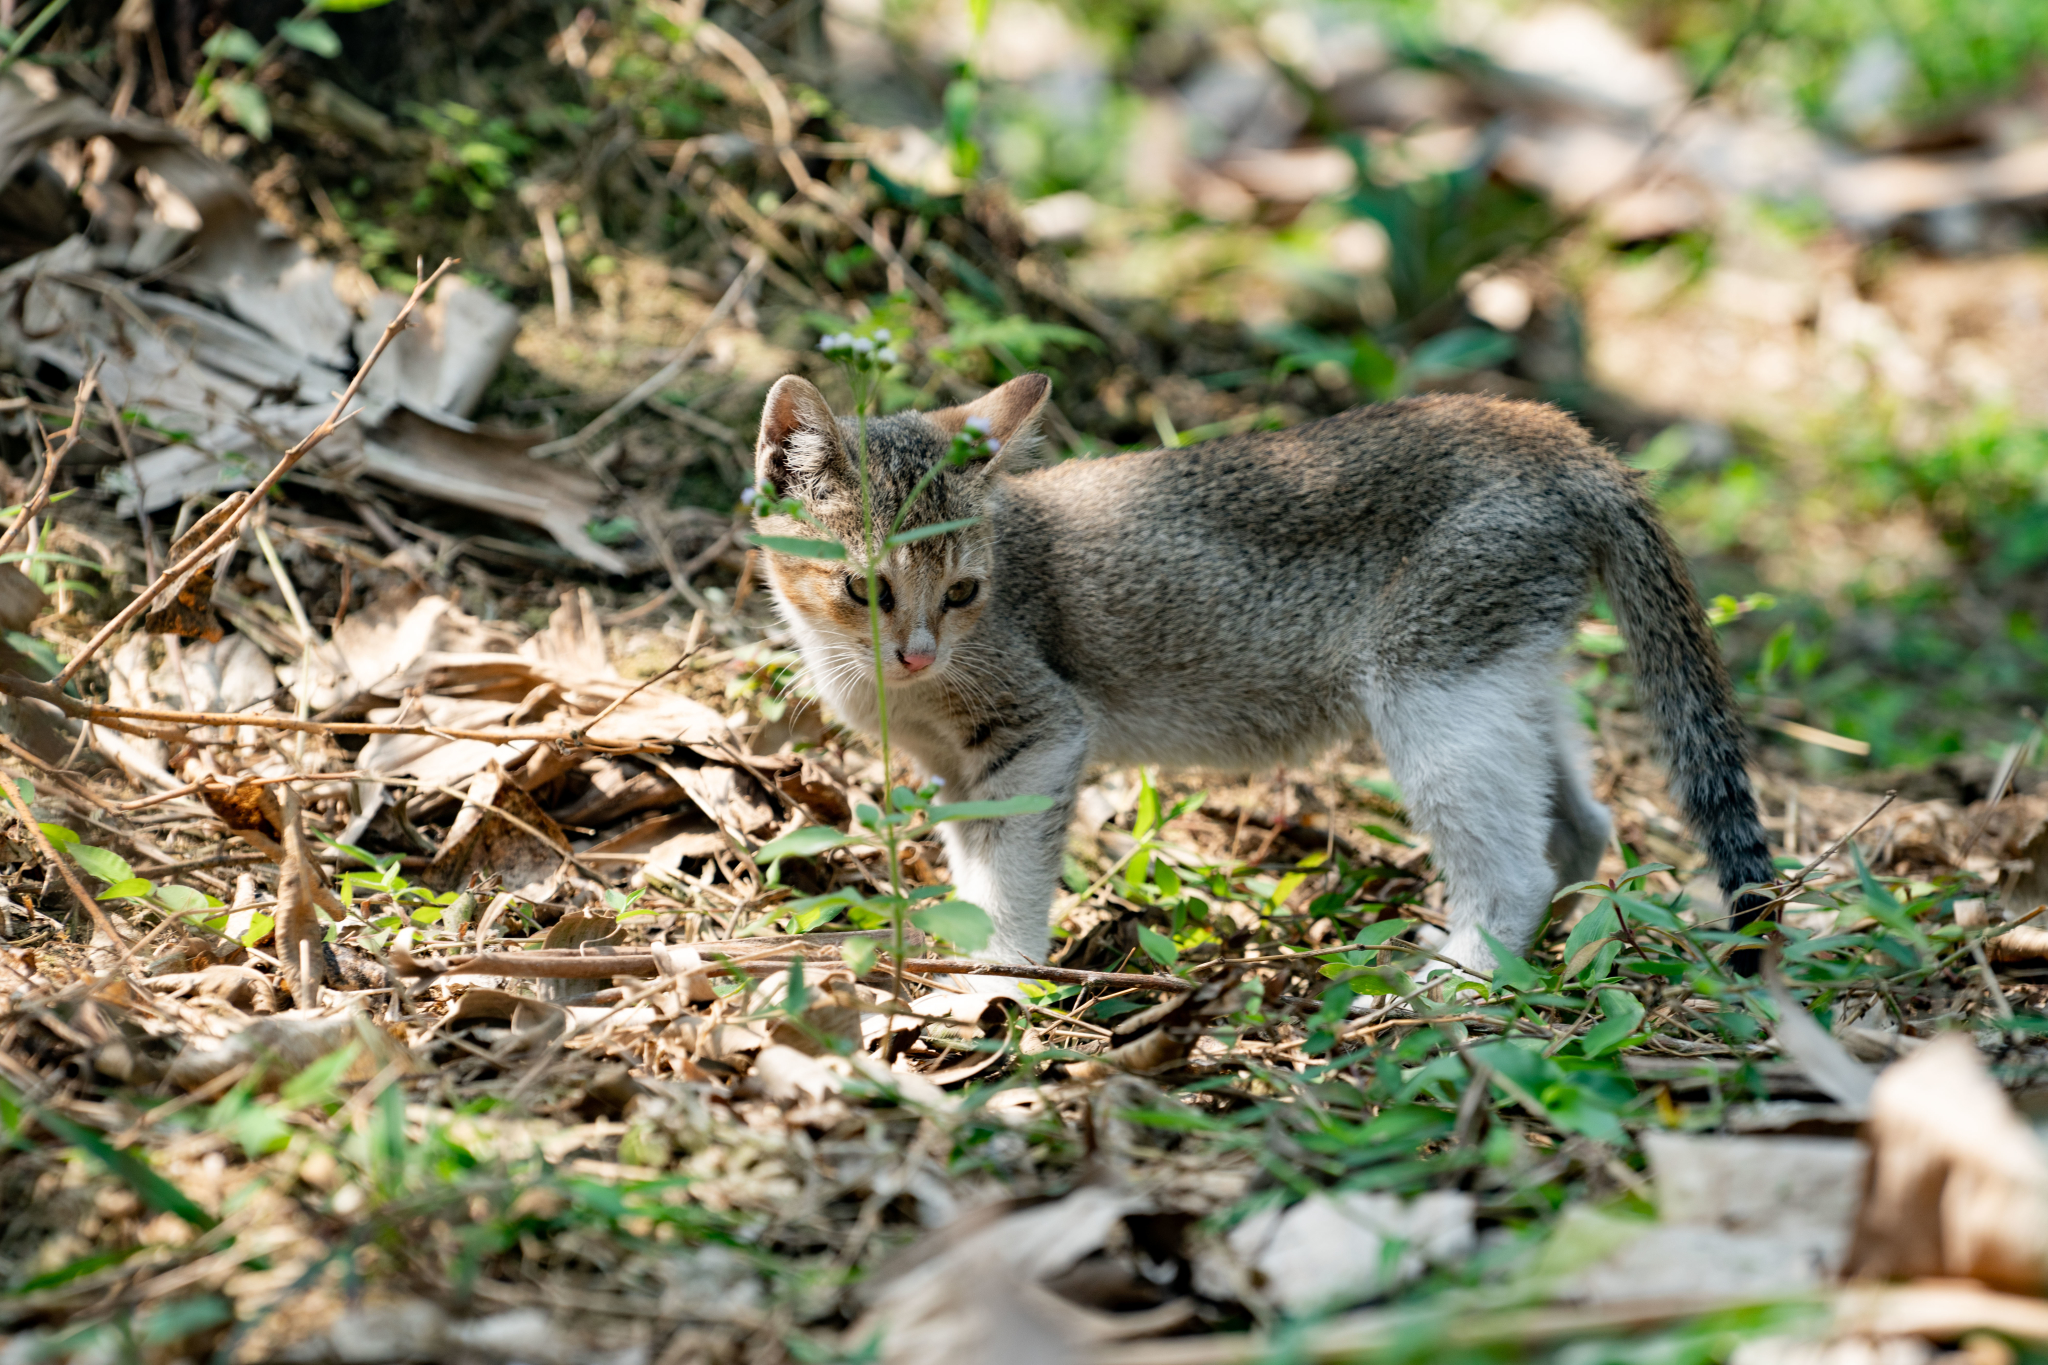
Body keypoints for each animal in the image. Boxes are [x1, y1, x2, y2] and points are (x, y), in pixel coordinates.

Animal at [753, 374, 1777, 970]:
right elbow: (973, 864)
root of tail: (1565, 438)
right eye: (865, 588)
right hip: (1507, 672)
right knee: (1581, 826)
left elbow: (1009, 875)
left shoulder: (1038, 729)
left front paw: (996, 975)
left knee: (1518, 868)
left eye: (963, 591)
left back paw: (1456, 983)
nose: (917, 649)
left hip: (1429, 689)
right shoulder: (959, 770)